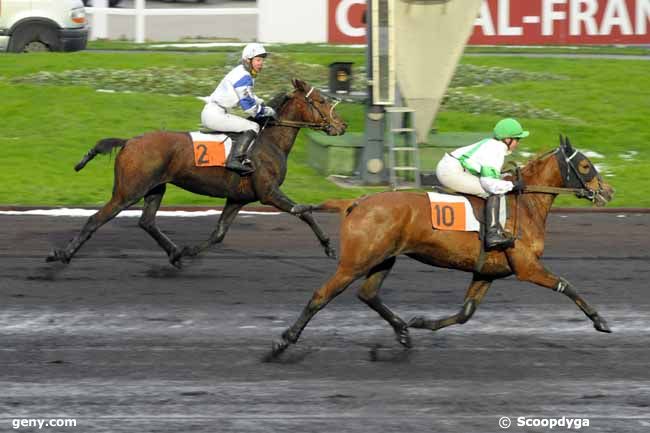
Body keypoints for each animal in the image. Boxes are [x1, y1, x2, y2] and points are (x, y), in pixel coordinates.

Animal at [46, 79, 344, 264]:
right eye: (320, 100)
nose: (342, 125)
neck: (269, 142)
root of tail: (129, 141)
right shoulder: (268, 192)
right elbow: (303, 211)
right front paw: (329, 246)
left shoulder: (237, 198)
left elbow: (218, 233)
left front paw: (189, 250)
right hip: (128, 192)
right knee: (96, 219)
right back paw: (62, 254)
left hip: (155, 188)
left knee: (147, 222)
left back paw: (175, 253)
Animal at [268, 137, 612, 356]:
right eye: (584, 166)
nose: (608, 191)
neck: (524, 205)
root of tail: (356, 202)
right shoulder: (527, 267)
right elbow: (566, 285)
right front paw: (600, 321)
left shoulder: (487, 271)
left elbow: (465, 313)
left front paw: (422, 322)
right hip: (355, 262)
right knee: (322, 294)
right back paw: (284, 341)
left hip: (384, 258)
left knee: (368, 294)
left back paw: (403, 331)